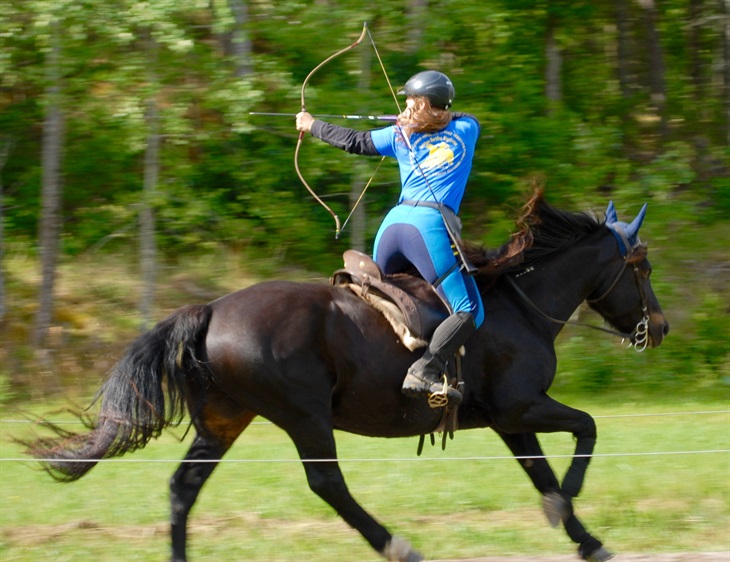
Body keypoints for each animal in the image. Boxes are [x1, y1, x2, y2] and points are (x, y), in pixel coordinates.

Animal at [27, 189, 664, 560]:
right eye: (643, 267)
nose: (658, 327)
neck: (521, 304)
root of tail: (210, 309)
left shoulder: (511, 420)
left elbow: (541, 472)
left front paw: (584, 537)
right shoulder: (522, 406)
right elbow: (585, 432)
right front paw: (572, 509)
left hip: (225, 422)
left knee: (184, 489)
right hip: (304, 415)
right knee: (327, 484)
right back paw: (397, 545)